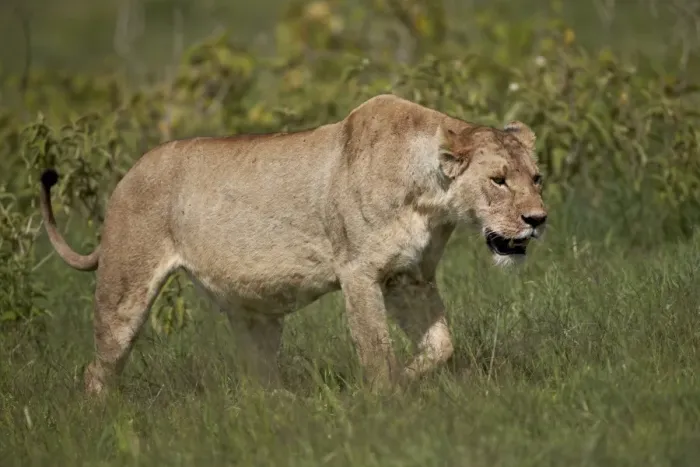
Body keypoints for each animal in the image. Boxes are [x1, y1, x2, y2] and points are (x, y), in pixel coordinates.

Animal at [39, 94, 547, 396]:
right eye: (499, 180)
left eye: (536, 178)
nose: (538, 220)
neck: (431, 199)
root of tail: (129, 173)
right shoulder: (358, 271)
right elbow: (375, 347)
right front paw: (387, 401)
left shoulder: (410, 276)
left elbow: (441, 344)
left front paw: (409, 377)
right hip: (124, 290)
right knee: (98, 369)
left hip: (255, 317)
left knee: (256, 379)